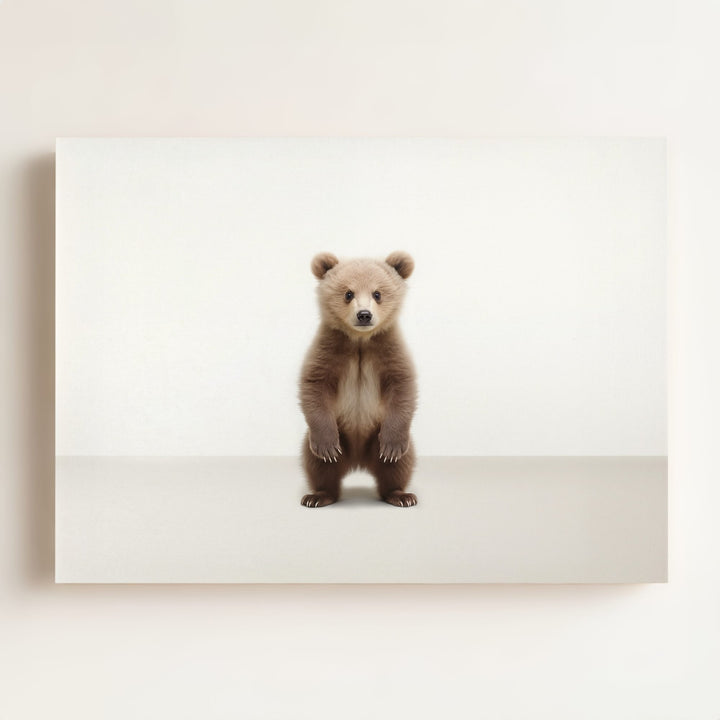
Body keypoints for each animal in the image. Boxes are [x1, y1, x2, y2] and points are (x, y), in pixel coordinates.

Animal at [299, 251, 418, 508]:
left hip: (377, 435)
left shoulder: (388, 348)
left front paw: (392, 447)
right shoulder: (329, 348)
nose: (364, 315)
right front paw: (326, 447)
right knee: (317, 464)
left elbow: (403, 386)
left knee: (399, 465)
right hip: (339, 434)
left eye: (377, 293)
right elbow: (314, 385)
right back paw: (318, 495)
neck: (360, 340)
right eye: (348, 293)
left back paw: (401, 495)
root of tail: (358, 462)